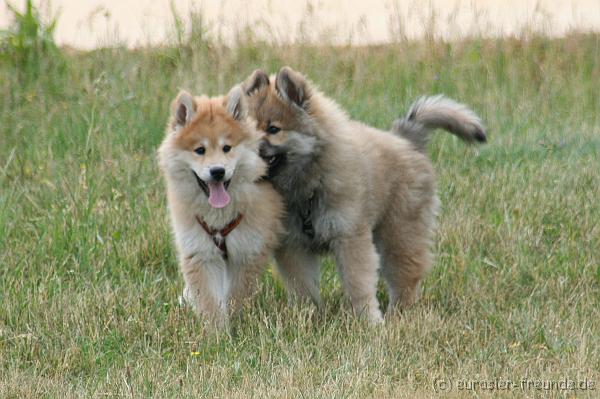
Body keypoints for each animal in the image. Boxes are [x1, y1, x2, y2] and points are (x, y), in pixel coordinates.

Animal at [157, 86, 284, 326]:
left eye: (227, 148)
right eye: (199, 150)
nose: (218, 171)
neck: (218, 217)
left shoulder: (246, 251)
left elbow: (235, 296)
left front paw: (234, 323)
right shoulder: (200, 251)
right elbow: (209, 300)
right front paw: (216, 331)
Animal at [241, 67, 486, 324]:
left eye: (273, 129)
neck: (311, 180)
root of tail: (406, 140)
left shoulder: (350, 237)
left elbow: (357, 283)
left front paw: (369, 321)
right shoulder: (294, 246)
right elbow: (302, 287)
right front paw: (307, 315)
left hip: (399, 233)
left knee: (405, 277)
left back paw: (400, 313)